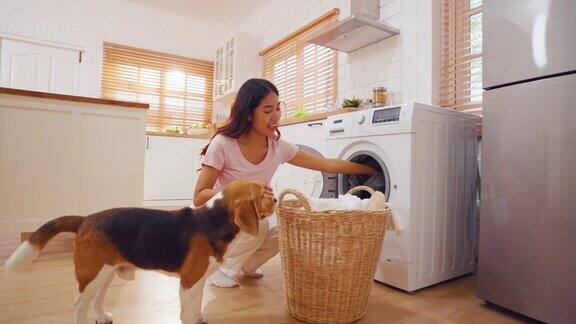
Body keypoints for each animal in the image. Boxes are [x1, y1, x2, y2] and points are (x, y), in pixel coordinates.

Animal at [3, 181, 274, 322]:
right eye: (263, 193)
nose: (276, 201)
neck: (211, 220)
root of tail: (86, 219)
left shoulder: (197, 282)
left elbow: (196, 306)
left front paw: (199, 317)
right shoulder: (189, 282)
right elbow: (187, 311)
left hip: (107, 271)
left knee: (97, 299)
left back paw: (102, 316)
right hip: (92, 273)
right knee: (80, 303)